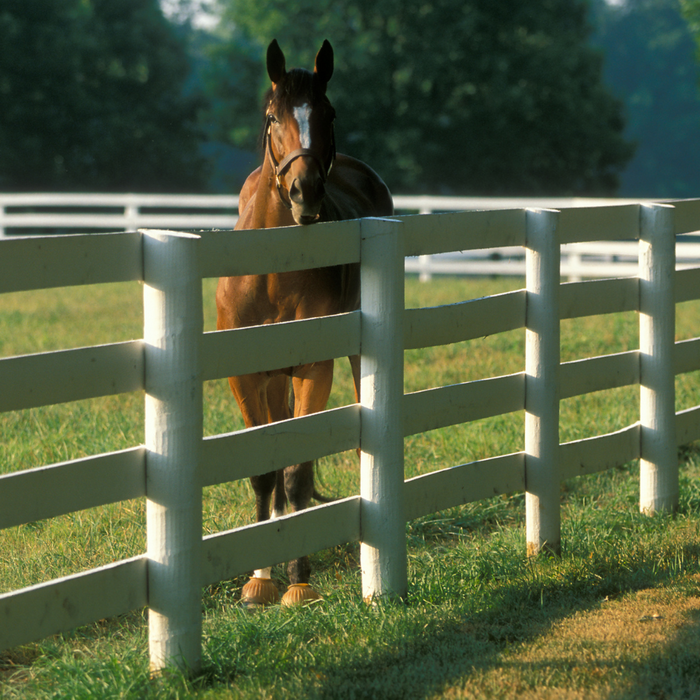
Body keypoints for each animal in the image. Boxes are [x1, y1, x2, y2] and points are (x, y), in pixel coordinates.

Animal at [216, 39, 394, 608]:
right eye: (273, 116)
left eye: (328, 113)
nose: (305, 192)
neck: (273, 272)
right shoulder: (246, 376)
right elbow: (265, 472)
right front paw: (259, 579)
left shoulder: (313, 369)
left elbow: (296, 474)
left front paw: (299, 581)